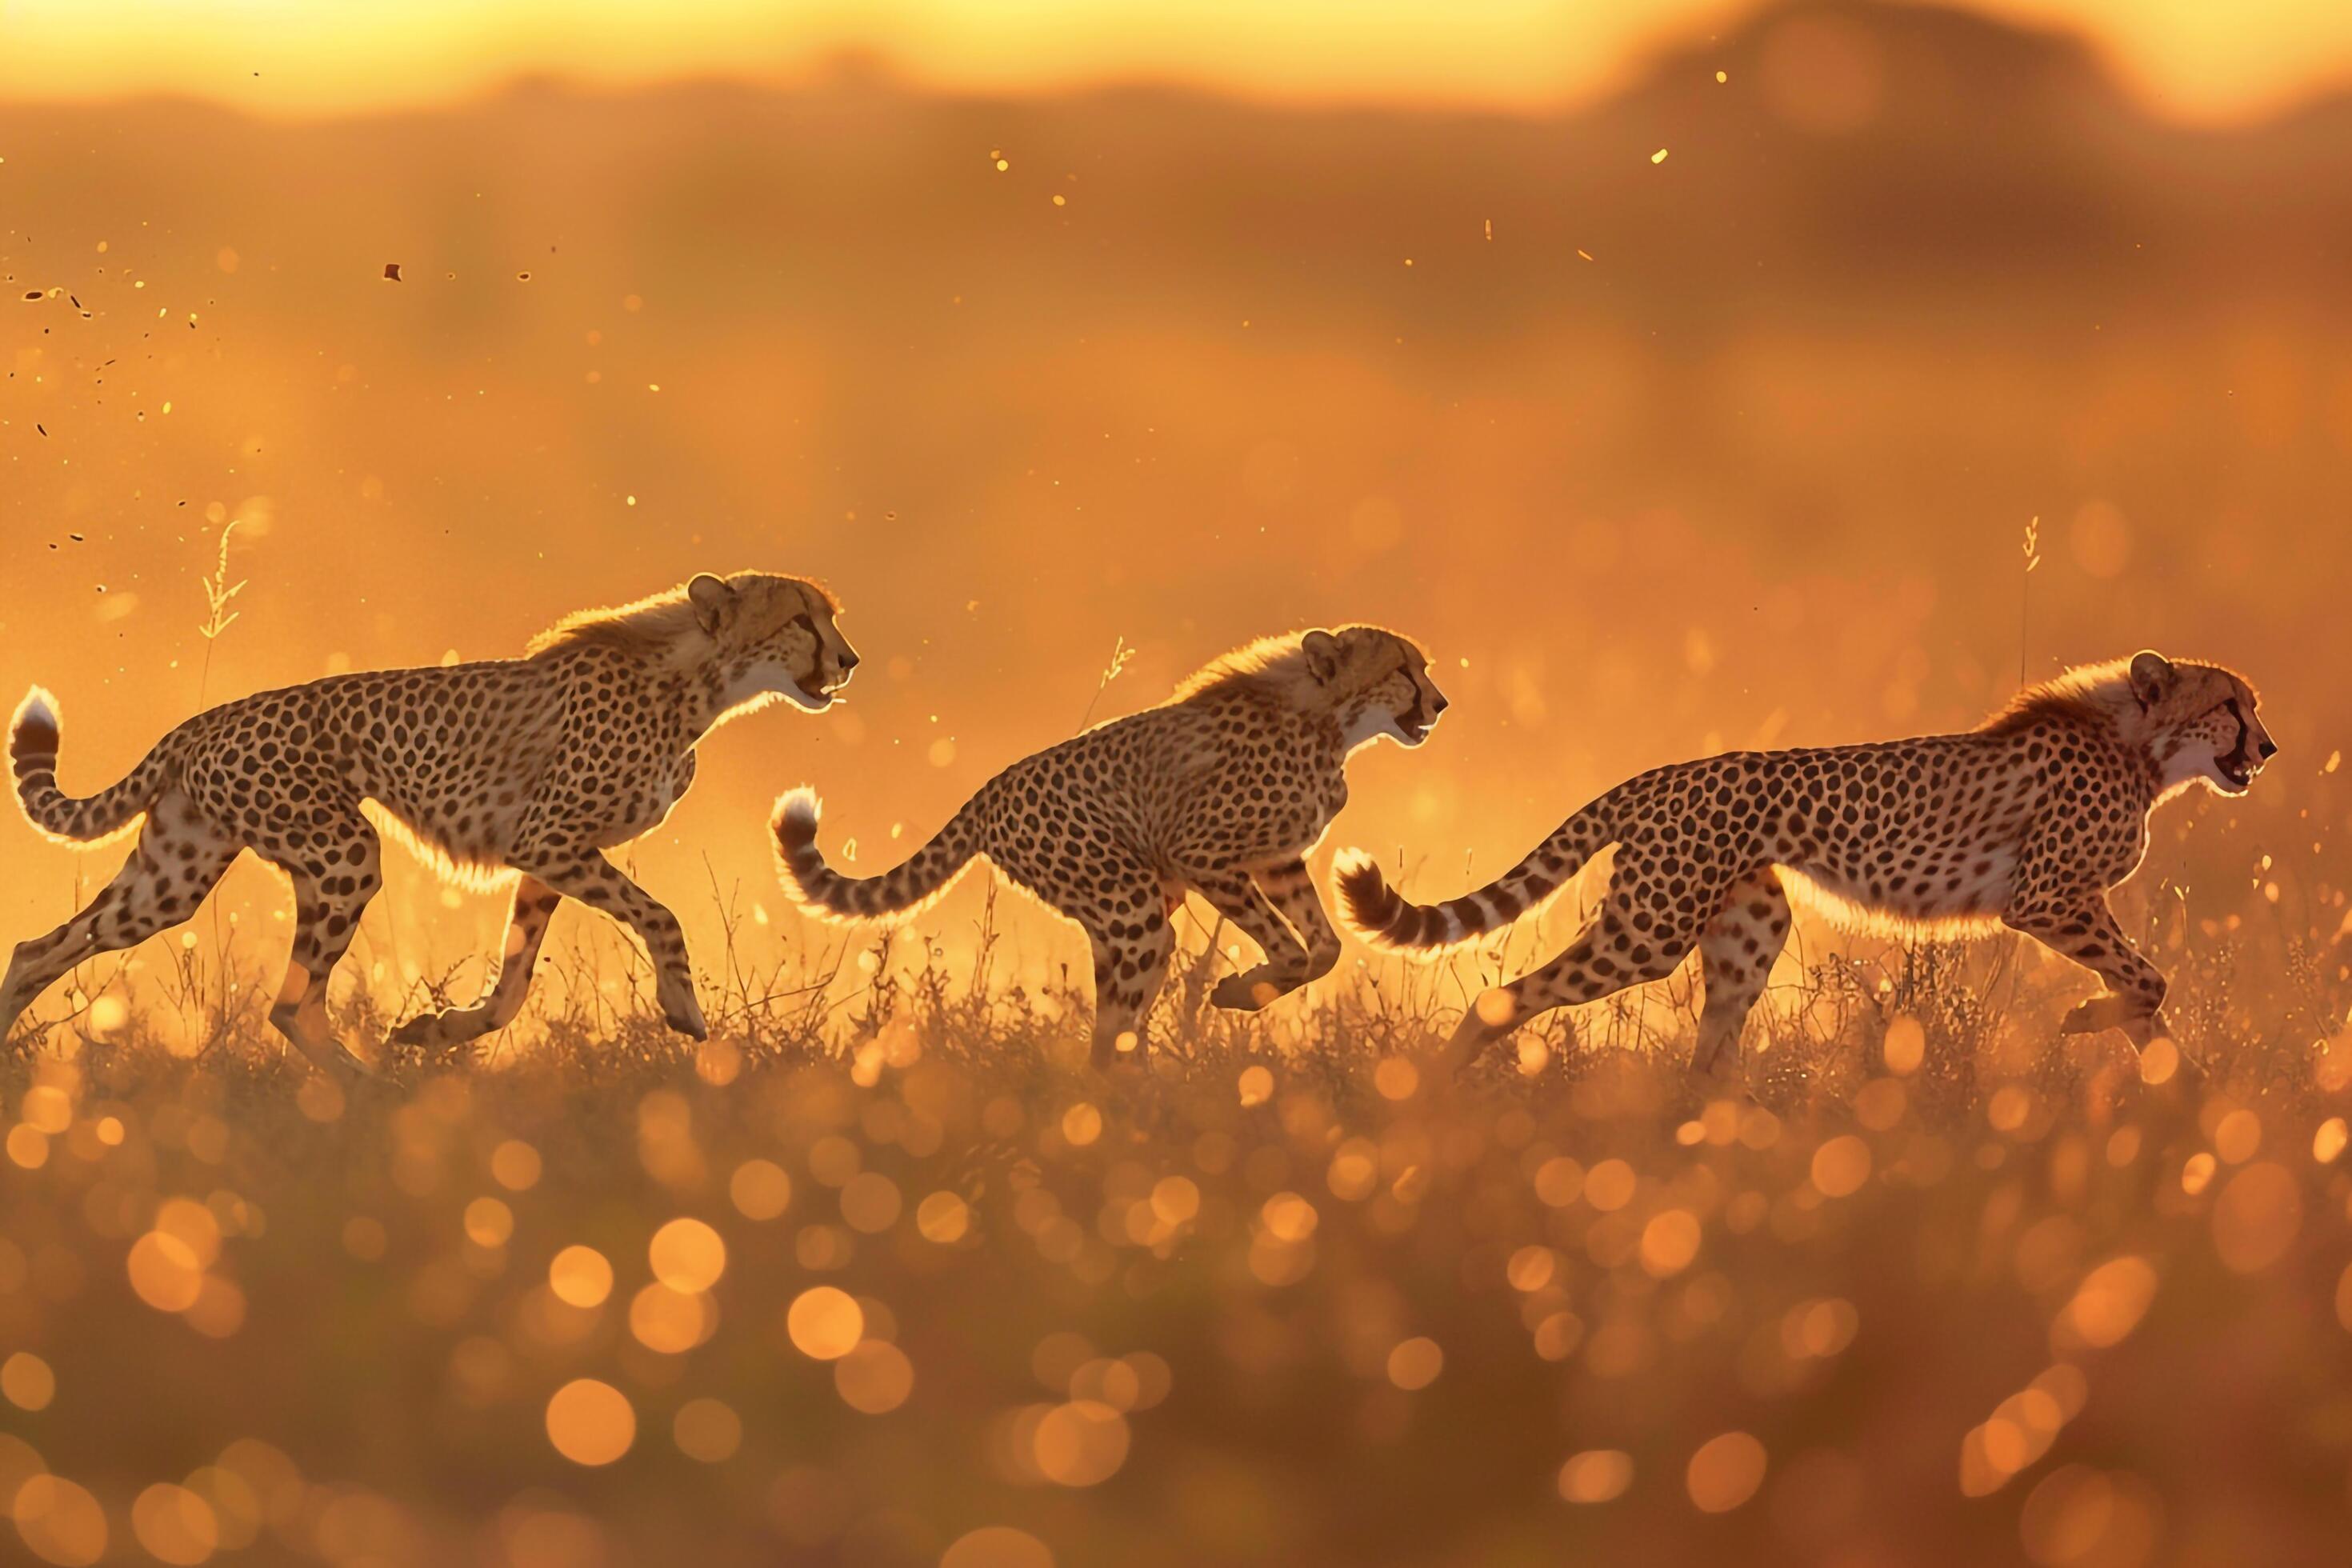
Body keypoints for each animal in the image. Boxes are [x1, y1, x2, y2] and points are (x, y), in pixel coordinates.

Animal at [6, 575, 856, 1081]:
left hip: (173, 877)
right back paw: (364, 1087)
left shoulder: (547, 859)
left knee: (37, 948)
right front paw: (682, 1007)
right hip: (344, 850)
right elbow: (662, 916)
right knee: (289, 1004)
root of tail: (203, 720)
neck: (695, 681)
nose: (848, 660)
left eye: (829, 617)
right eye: (800, 619)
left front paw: (441, 1027)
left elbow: (515, 982)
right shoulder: (550, 840)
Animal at [771, 625, 1439, 1067]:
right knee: (1117, 1020)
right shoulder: (1203, 855)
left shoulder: (1275, 862)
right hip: (1132, 906)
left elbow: (1324, 948)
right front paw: (1239, 990)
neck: (1328, 722)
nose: (1441, 701)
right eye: (1403, 671)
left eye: (1422, 667)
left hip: (1128, 918)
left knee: (1112, 1026)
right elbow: (1294, 951)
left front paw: (1250, 987)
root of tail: (989, 790)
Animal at [1345, 649, 2276, 1081]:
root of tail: (1667, 772)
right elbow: (2149, 978)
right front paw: (2092, 1021)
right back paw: (1439, 1091)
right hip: (1648, 931)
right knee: (1504, 999)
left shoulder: (2074, 902)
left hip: (1750, 926)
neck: (2140, 746)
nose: (2267, 747)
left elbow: (2145, 989)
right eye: (2232, 705)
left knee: (1709, 1061)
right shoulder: (2048, 897)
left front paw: (2176, 1086)